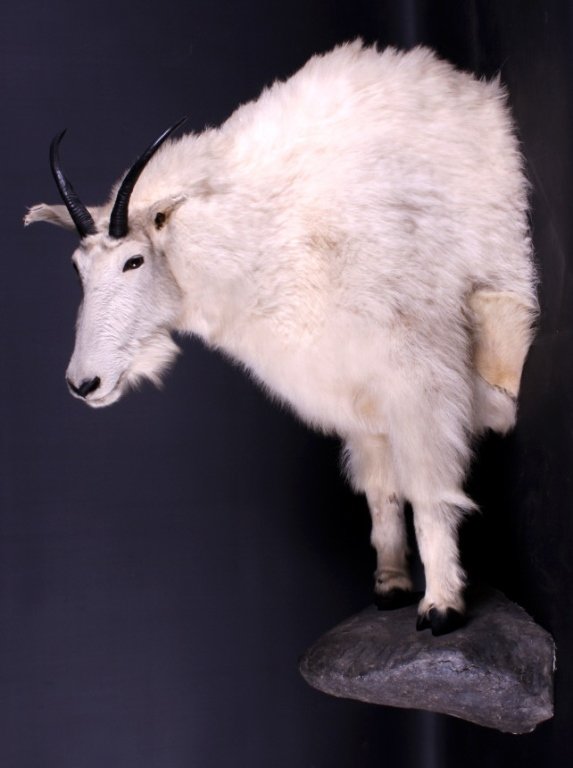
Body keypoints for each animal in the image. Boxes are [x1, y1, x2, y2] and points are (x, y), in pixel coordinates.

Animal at [25, 42, 537, 635]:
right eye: (77, 267)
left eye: (134, 261)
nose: (84, 383)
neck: (267, 236)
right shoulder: (356, 396)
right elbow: (381, 490)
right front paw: (390, 587)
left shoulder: (417, 379)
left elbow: (429, 490)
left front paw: (441, 605)